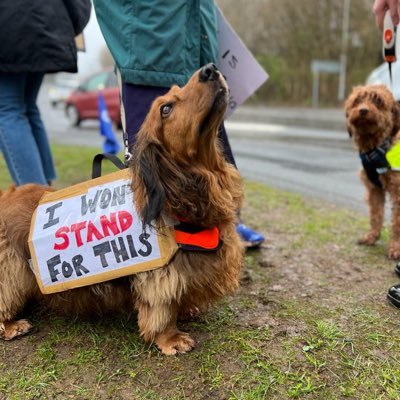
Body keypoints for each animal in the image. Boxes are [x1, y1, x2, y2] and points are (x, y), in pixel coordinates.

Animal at [0, 64, 244, 354]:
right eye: (165, 109)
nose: (210, 69)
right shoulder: (160, 275)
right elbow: (162, 308)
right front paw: (170, 338)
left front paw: (186, 310)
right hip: (10, 269)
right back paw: (11, 326)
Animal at [346, 85, 400, 260]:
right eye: (357, 100)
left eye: (378, 100)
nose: (363, 110)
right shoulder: (374, 188)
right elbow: (376, 215)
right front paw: (372, 237)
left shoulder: (398, 191)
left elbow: (397, 222)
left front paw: (396, 248)